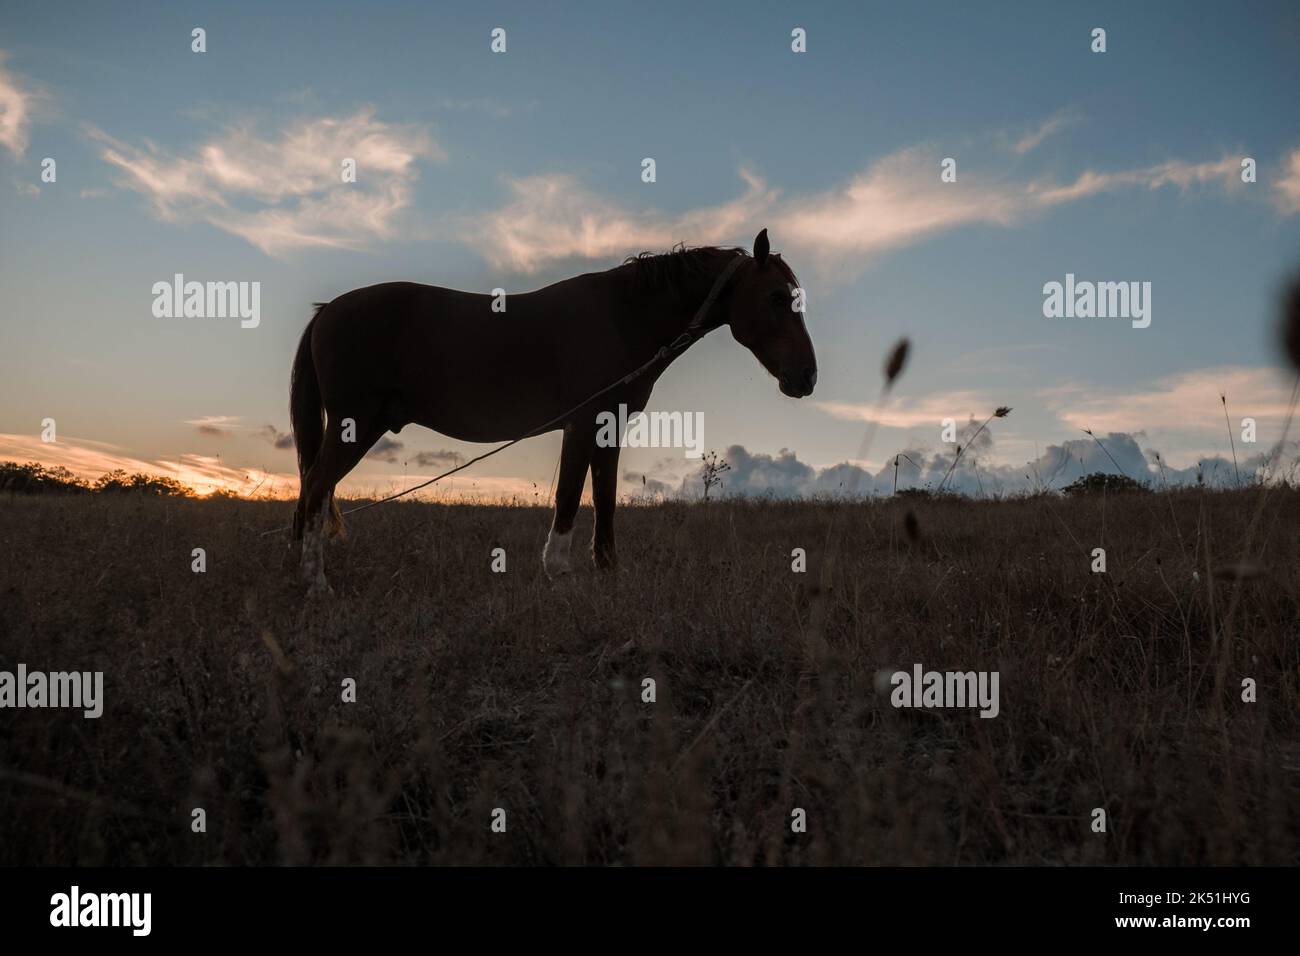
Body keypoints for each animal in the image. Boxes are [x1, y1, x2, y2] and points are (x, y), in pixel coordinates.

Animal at [289, 227, 817, 593]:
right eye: (775, 297)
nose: (806, 378)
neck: (622, 317)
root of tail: (327, 310)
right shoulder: (583, 424)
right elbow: (569, 494)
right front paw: (559, 571)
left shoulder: (609, 427)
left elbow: (604, 497)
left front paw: (609, 571)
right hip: (356, 425)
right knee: (316, 485)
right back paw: (316, 584)